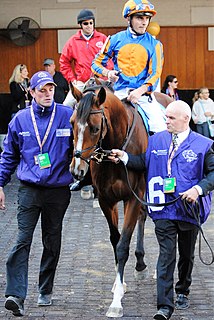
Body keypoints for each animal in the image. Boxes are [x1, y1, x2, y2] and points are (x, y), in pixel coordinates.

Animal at [69, 85, 171, 318]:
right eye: (71, 123)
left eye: (95, 128)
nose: (77, 169)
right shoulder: (107, 200)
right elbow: (116, 241)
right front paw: (119, 284)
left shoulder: (132, 198)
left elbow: (123, 244)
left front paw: (116, 302)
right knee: (143, 217)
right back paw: (140, 264)